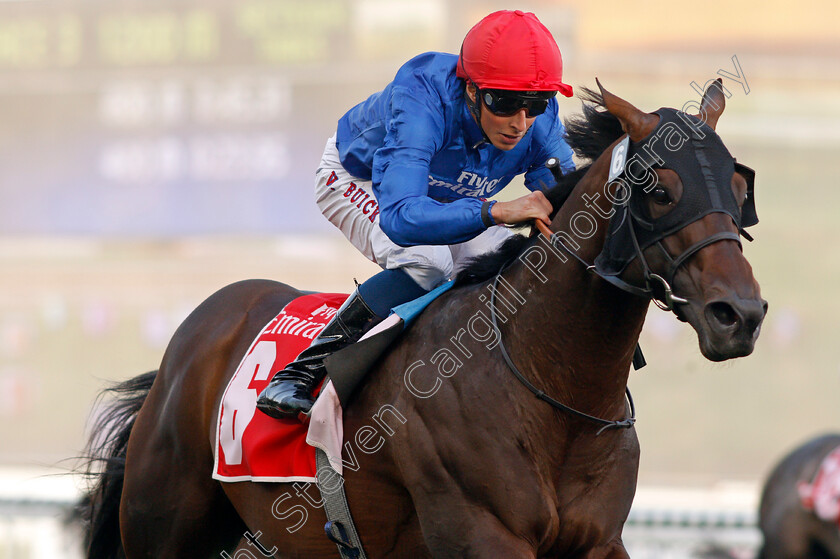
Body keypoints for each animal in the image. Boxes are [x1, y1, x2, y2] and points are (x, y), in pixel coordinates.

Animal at [80, 80, 768, 559]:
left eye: (740, 191)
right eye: (661, 190)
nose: (740, 315)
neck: (552, 385)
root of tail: (195, 334)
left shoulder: (598, 539)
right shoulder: (481, 532)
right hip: (164, 525)